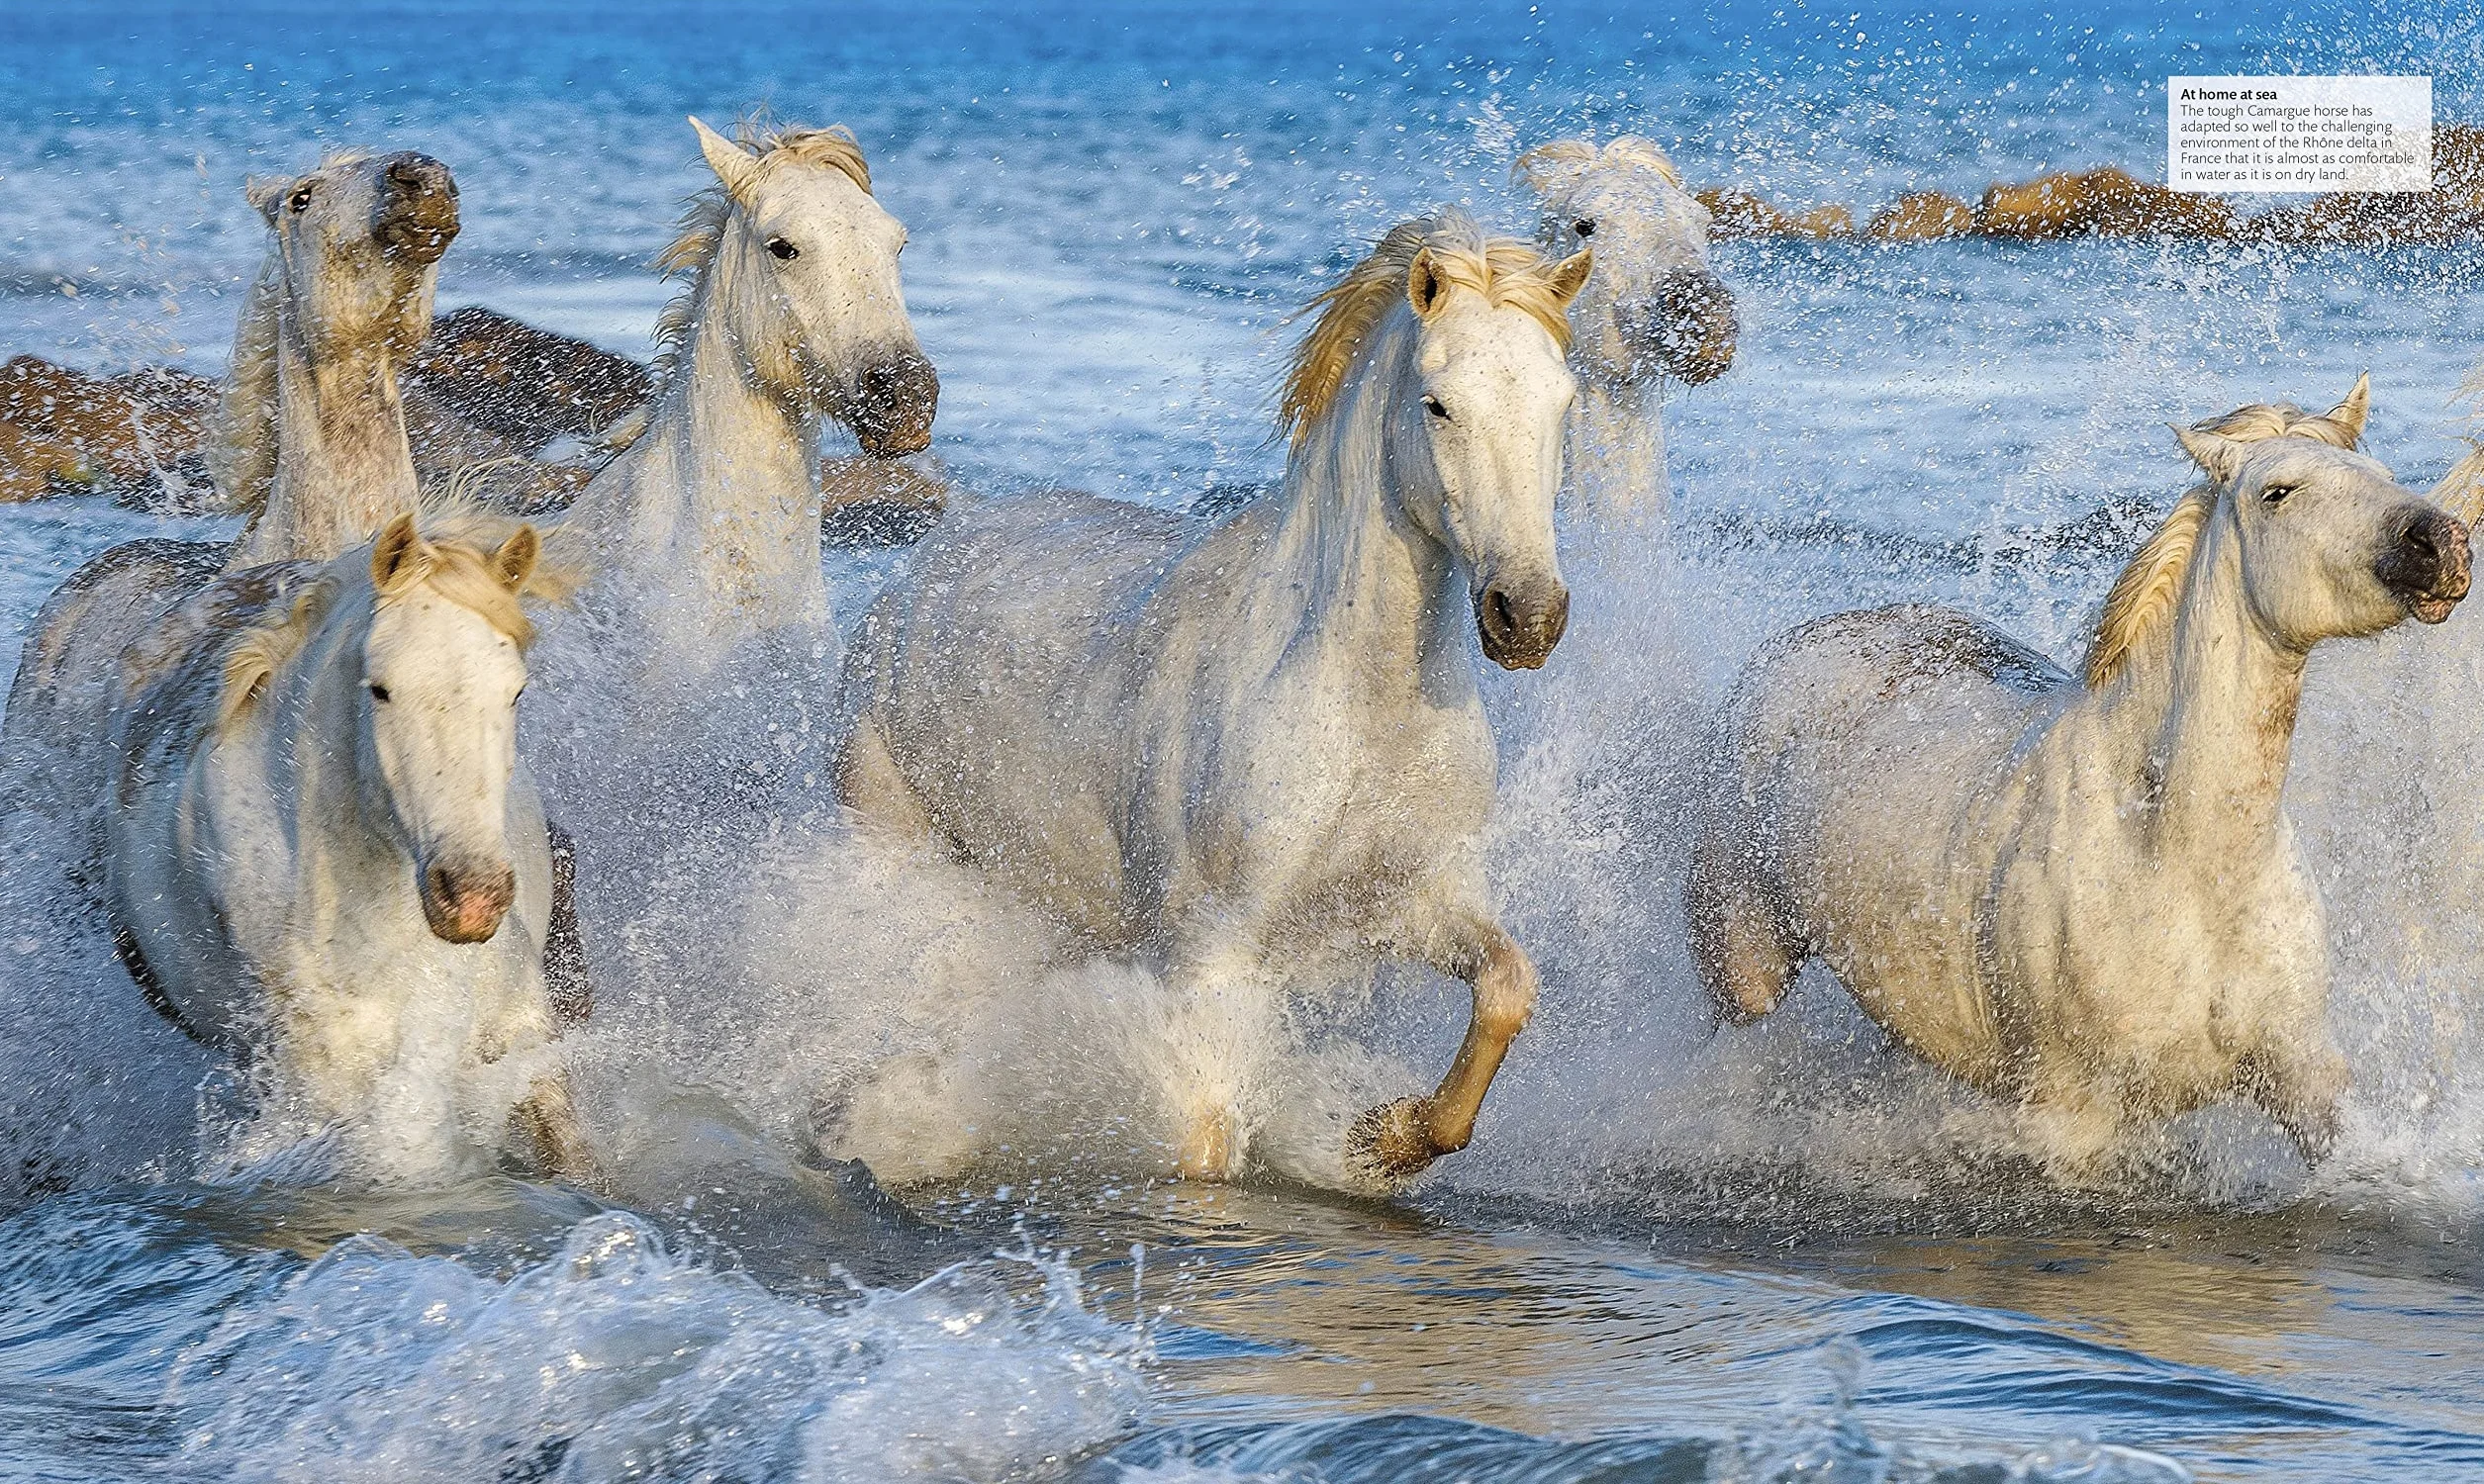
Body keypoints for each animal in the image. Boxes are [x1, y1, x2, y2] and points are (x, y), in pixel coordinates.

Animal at [834, 210, 1591, 1183]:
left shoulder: (1413, 901)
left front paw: (1384, 1134)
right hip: (896, 841)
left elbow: (1505, 988)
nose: (1526, 616)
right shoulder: (1208, 954)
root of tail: (925, 564)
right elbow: (1203, 1138)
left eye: (1562, 403)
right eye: (1438, 404)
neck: (1358, 707)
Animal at [1683, 382, 2470, 1180]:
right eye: (2277, 491)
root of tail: (1798, 645)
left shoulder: (2304, 1075)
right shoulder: (2072, 1117)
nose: (2443, 543)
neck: (2177, 856)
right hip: (1744, 967)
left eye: (2379, 472)